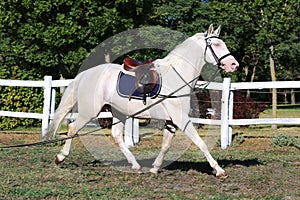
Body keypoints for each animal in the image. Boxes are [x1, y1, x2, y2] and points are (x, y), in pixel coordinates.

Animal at [45, 24, 239, 177]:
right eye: (216, 44)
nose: (233, 65)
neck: (177, 76)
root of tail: (86, 74)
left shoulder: (171, 121)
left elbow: (166, 145)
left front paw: (154, 169)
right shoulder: (181, 119)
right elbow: (201, 143)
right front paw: (219, 170)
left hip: (118, 112)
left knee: (117, 136)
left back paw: (136, 165)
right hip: (89, 112)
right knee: (72, 128)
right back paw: (60, 157)